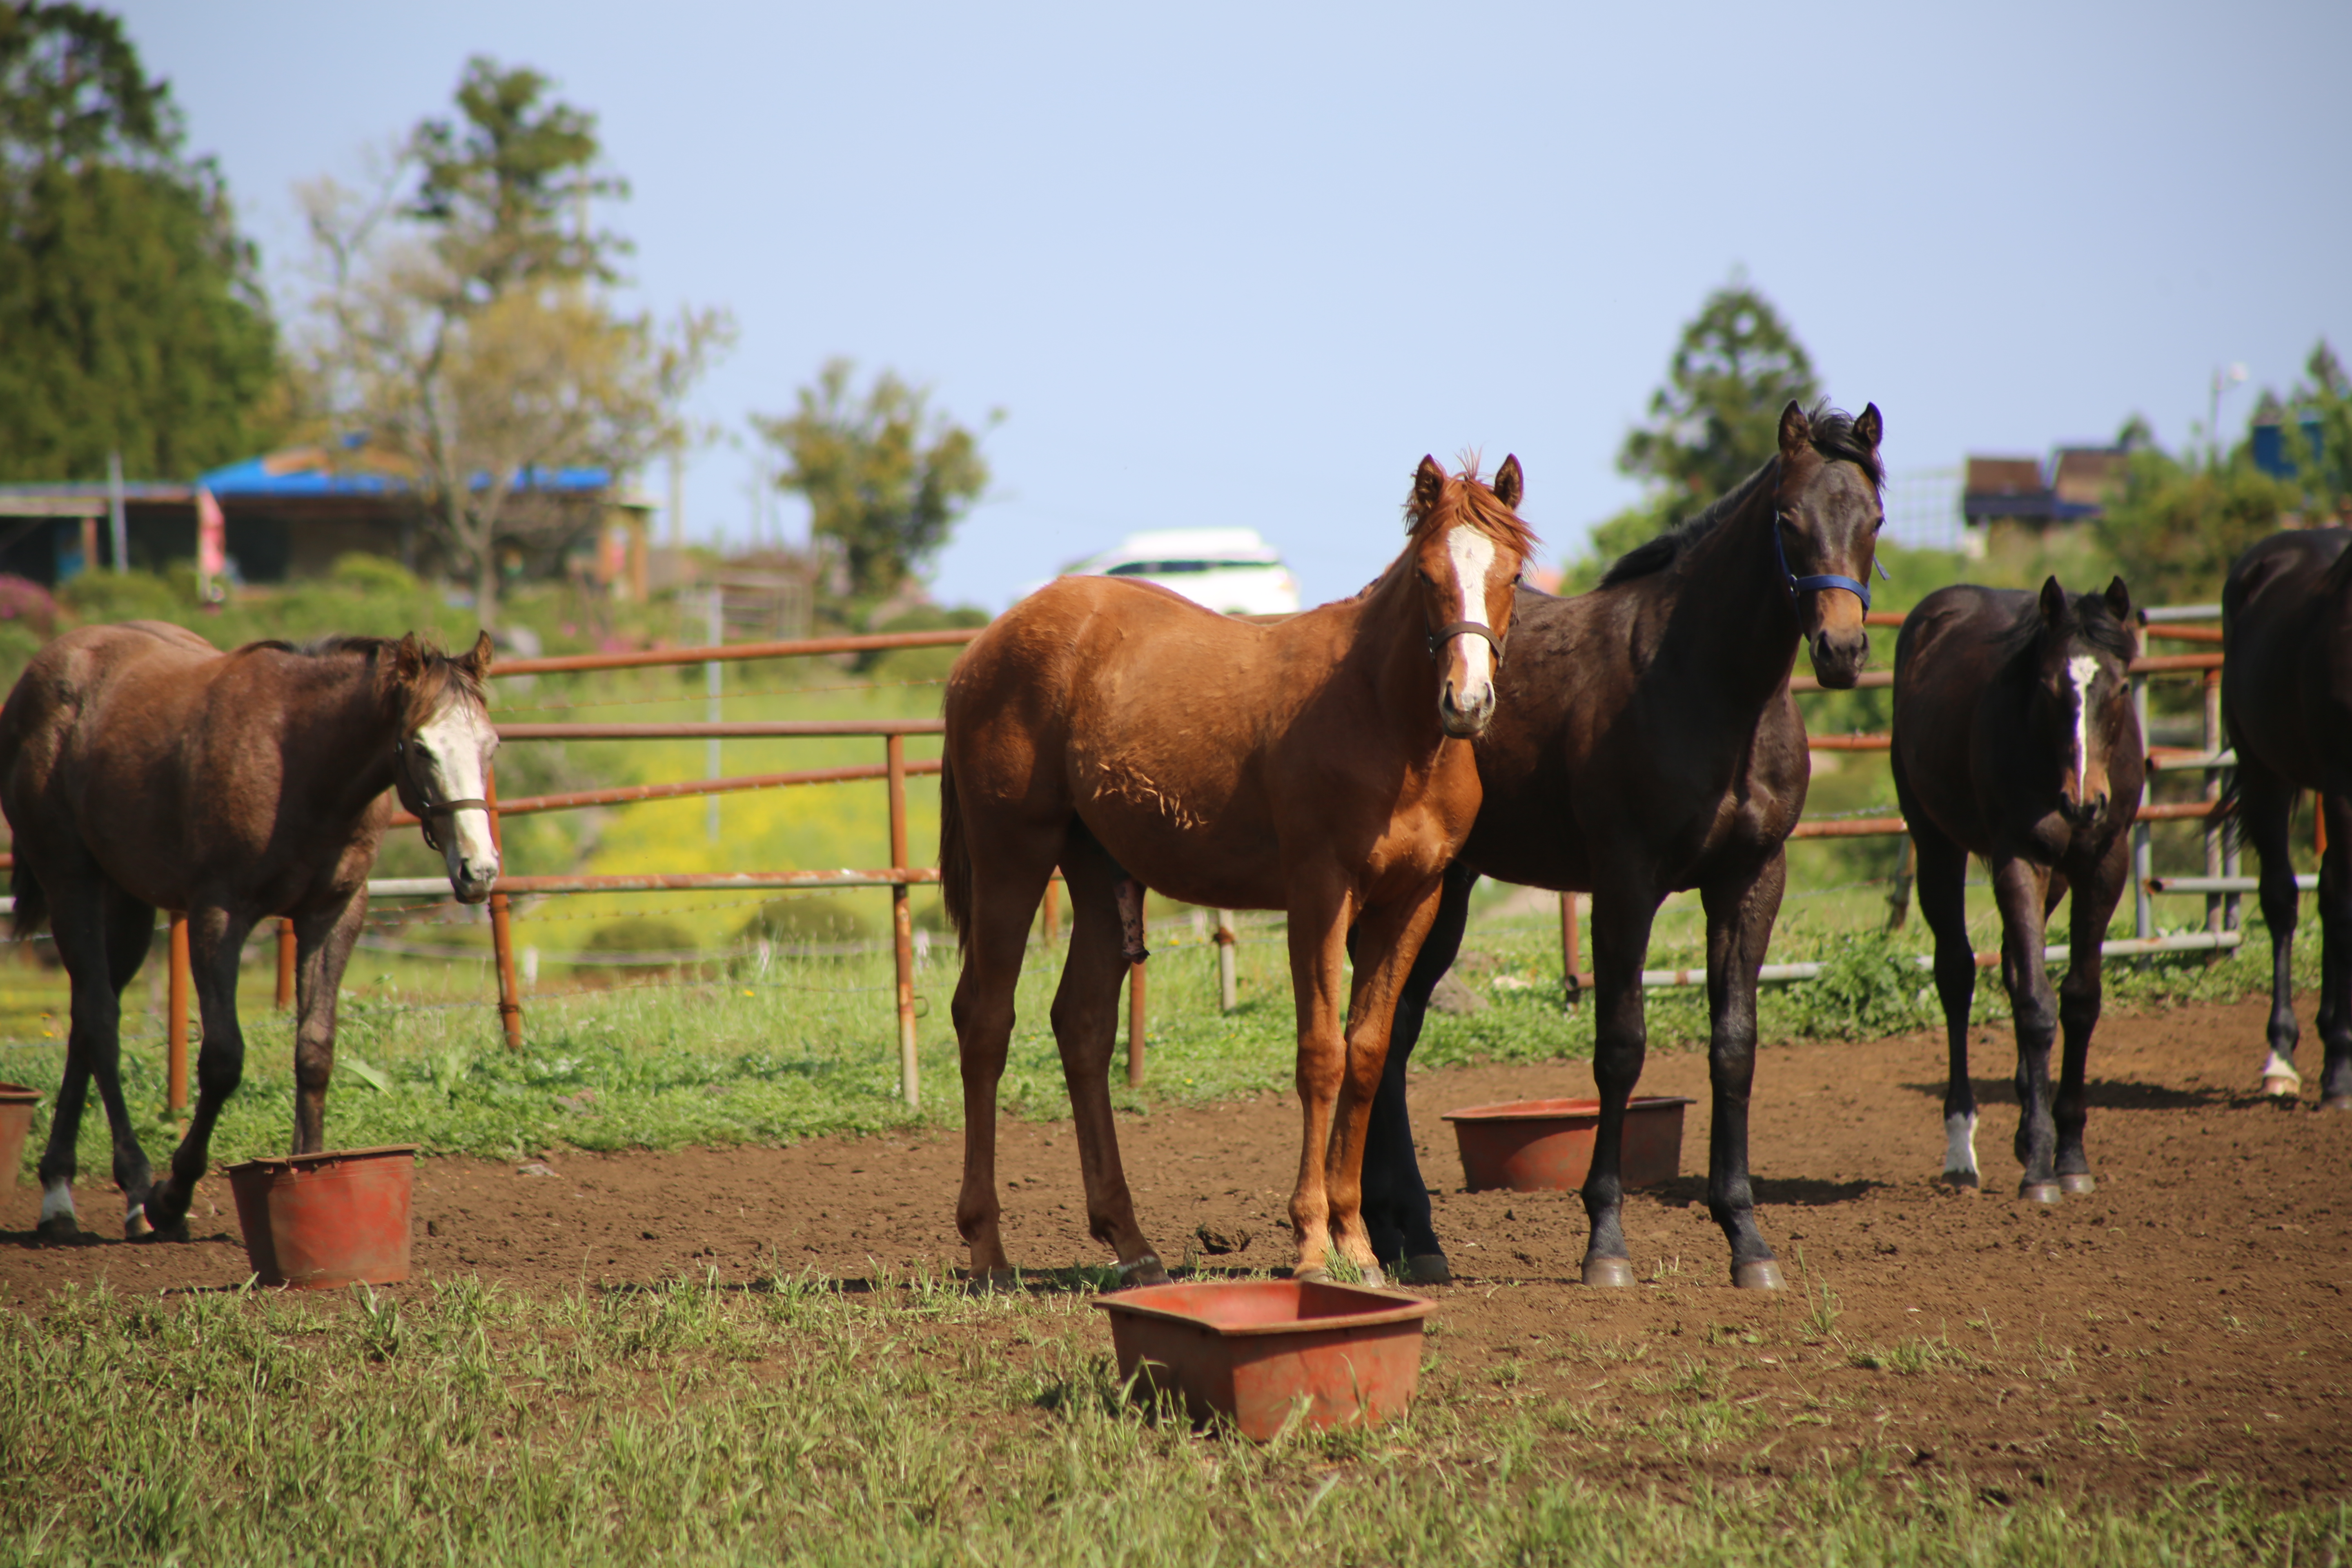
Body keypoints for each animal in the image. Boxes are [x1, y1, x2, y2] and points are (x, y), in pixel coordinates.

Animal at [0, 620, 496, 1241]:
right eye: (422, 746)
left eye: (490, 745)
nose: (479, 871)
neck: (303, 764)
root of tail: (43, 671)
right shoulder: (219, 914)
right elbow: (222, 1061)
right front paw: (174, 1195)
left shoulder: (333, 914)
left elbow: (315, 1051)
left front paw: (313, 1172)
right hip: (71, 879)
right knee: (101, 1019)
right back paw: (129, 1188)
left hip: (127, 901)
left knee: (85, 1021)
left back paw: (62, 1190)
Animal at [945, 454, 1533, 1288]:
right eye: (1426, 574)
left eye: (1512, 575)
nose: (1468, 701)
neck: (1384, 719)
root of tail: (983, 647)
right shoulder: (1320, 894)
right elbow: (1320, 1055)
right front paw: (1314, 1244)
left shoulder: (1411, 903)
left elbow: (1366, 1055)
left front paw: (1359, 1244)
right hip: (1012, 858)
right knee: (986, 1022)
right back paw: (989, 1250)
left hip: (1097, 873)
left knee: (1082, 1026)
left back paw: (1132, 1244)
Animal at [1354, 402, 1882, 1288]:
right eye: (1788, 519)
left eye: (1873, 519)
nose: (1841, 652)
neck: (1709, 688)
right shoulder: (1626, 884)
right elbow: (1621, 1050)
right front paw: (1605, 1244)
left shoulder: (1750, 880)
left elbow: (1733, 1048)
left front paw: (1746, 1239)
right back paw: (1402, 1232)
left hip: (1445, 891)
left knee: (1389, 1037)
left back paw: (1404, 1236)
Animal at [1891, 576, 2154, 1203]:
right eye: (2048, 684)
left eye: (2122, 685)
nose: (2083, 802)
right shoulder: (2019, 858)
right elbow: (2037, 1005)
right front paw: (2039, 1166)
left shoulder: (2103, 866)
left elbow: (2079, 1002)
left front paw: (2071, 1156)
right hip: (1936, 844)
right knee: (1957, 974)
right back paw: (1961, 1150)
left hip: (2056, 878)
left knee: (2012, 963)